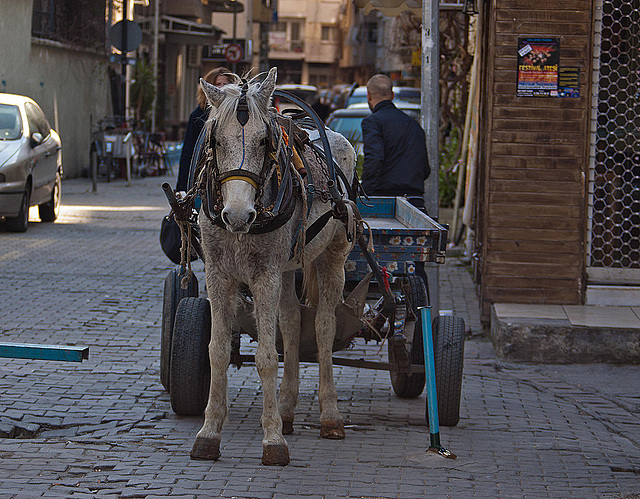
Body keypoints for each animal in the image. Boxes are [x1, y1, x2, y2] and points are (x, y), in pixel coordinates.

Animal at [192, 68, 358, 466]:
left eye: (264, 140)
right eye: (215, 140)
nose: (237, 215)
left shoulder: (264, 275)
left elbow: (267, 356)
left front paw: (273, 441)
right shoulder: (218, 274)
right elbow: (217, 350)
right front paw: (209, 432)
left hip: (332, 258)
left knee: (324, 327)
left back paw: (330, 416)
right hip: (286, 268)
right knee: (293, 323)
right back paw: (286, 410)